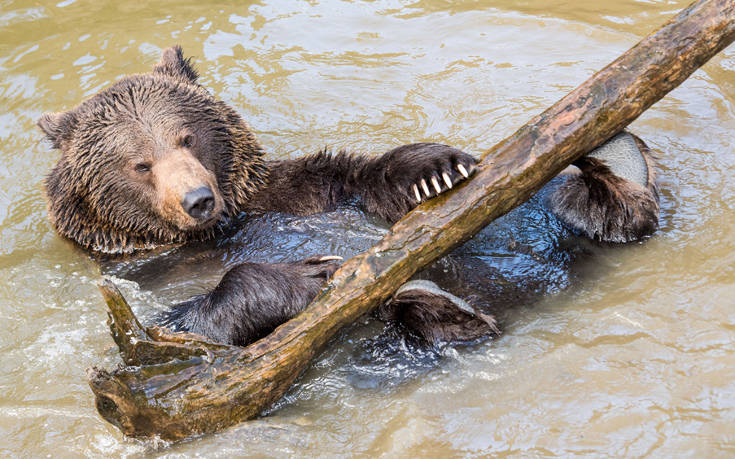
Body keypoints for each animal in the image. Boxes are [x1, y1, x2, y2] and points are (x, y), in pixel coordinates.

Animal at [40, 47, 660, 348]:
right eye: (140, 164)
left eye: (186, 136)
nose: (198, 199)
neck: (221, 230)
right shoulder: (140, 274)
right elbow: (184, 326)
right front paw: (310, 274)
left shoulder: (281, 196)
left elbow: (350, 176)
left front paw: (434, 170)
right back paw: (433, 299)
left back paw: (613, 158)